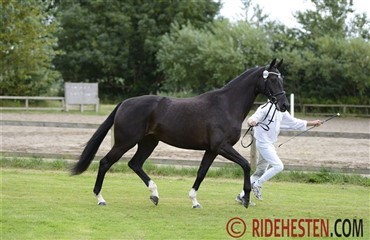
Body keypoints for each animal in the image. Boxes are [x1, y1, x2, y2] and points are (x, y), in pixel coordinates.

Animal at [71, 58, 288, 208]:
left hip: (148, 142)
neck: (226, 105)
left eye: (281, 79)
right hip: (125, 142)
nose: (284, 104)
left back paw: (155, 195)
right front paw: (246, 199)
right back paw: (100, 198)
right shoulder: (222, 147)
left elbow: (202, 172)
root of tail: (124, 103)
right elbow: (245, 165)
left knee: (135, 164)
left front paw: (194, 201)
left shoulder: (212, 150)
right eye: (272, 79)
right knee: (105, 163)